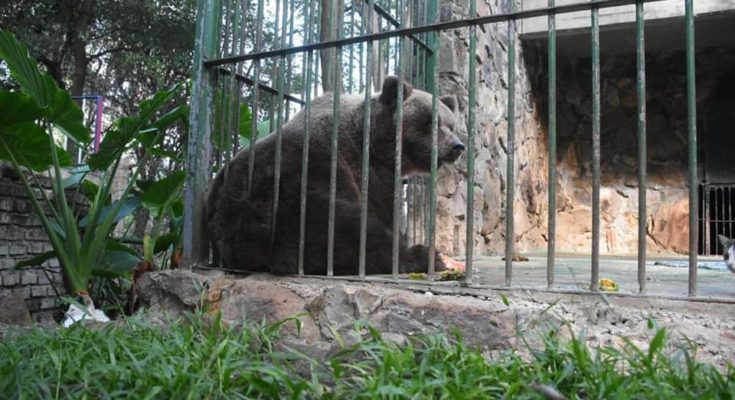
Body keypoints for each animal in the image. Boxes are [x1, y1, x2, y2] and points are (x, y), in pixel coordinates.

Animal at [206, 75, 466, 276]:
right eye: (430, 122)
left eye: (451, 125)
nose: (457, 146)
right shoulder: (367, 170)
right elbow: (380, 211)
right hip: (292, 194)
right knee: (349, 232)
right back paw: (426, 256)